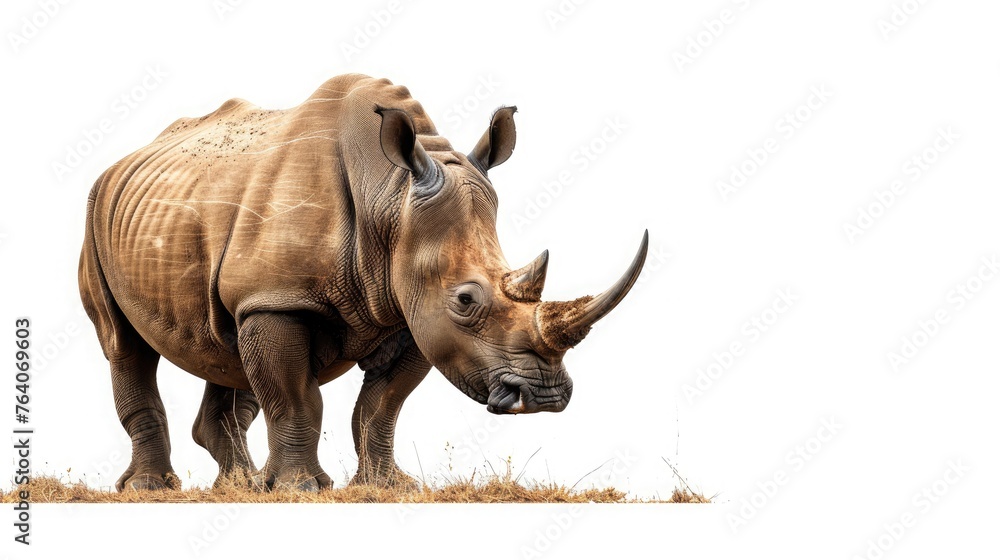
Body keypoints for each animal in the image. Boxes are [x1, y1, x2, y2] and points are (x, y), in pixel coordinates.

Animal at [78, 73, 648, 491]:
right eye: (465, 300)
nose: (544, 396)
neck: (392, 197)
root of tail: (124, 160)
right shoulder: (280, 300)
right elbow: (296, 399)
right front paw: (301, 489)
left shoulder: (411, 310)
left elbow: (381, 407)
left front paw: (389, 486)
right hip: (94, 214)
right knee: (122, 343)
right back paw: (152, 489)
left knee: (223, 346)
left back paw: (240, 486)